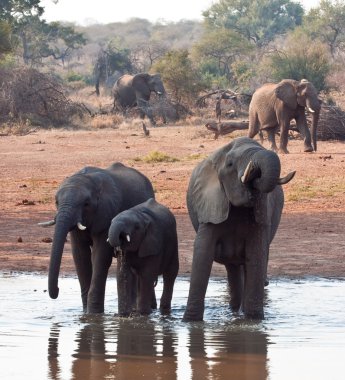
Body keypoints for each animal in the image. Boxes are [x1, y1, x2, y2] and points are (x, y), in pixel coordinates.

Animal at [38, 162, 155, 314]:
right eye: (56, 202)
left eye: (86, 204)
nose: (57, 290)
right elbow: (80, 256)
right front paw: (86, 313)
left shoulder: (107, 213)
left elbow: (100, 256)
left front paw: (94, 314)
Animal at [181, 137, 294, 320]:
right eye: (230, 164)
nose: (254, 171)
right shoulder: (211, 206)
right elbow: (202, 254)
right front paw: (190, 322)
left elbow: (256, 255)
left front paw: (254, 322)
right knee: (232, 268)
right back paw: (233, 312)